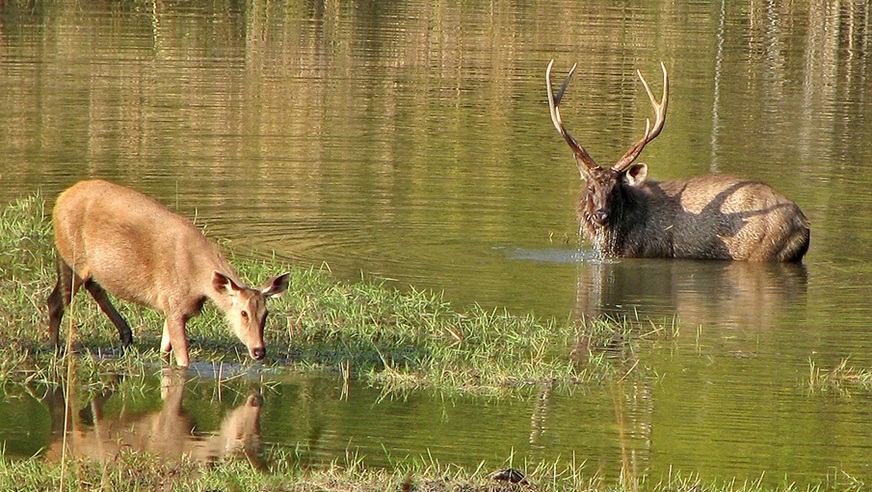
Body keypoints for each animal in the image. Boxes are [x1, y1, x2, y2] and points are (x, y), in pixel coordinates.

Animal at [47, 180, 290, 366]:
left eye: (266, 314)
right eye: (243, 313)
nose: (259, 350)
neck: (198, 281)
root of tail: (59, 201)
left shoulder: (174, 308)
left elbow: (165, 350)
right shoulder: (174, 303)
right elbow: (184, 360)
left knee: (91, 286)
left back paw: (125, 334)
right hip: (72, 256)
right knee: (56, 300)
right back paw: (56, 348)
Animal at [544, 60, 812, 262]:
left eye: (616, 189)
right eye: (591, 187)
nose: (601, 214)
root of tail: (803, 224)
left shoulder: (647, 250)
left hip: (763, 250)